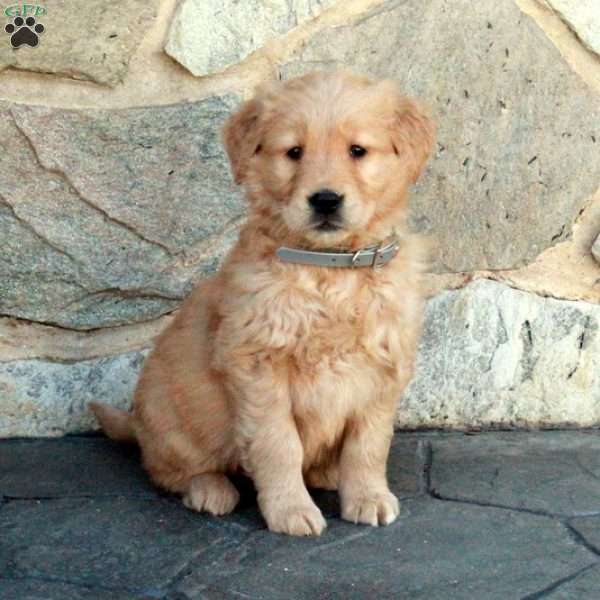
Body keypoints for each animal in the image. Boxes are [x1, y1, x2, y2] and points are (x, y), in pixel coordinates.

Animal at [91, 72, 434, 536]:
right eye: (294, 152)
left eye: (357, 151)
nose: (325, 200)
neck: (329, 270)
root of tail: (138, 425)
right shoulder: (257, 367)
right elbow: (278, 444)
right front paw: (290, 510)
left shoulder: (383, 367)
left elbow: (368, 444)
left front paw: (367, 497)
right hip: (171, 415)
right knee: (169, 470)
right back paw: (210, 490)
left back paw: (327, 473)